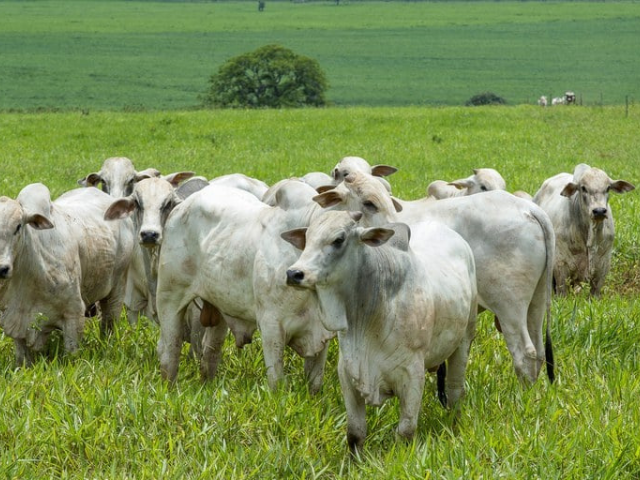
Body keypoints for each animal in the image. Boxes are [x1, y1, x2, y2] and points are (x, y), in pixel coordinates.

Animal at [0, 183, 134, 364]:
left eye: (18, 226)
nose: (2, 268)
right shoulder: (14, 321)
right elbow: (23, 358)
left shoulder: (74, 313)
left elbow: (71, 355)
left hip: (117, 289)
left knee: (109, 323)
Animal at [282, 212, 478, 452]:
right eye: (308, 238)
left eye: (339, 239)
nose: (294, 273)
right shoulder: (347, 373)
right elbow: (355, 433)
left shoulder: (413, 374)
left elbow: (406, 432)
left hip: (465, 339)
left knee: (455, 391)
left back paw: (454, 425)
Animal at [320, 172, 556, 382]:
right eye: (368, 203)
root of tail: (529, 208)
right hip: (536, 302)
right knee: (539, 352)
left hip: (509, 306)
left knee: (525, 354)